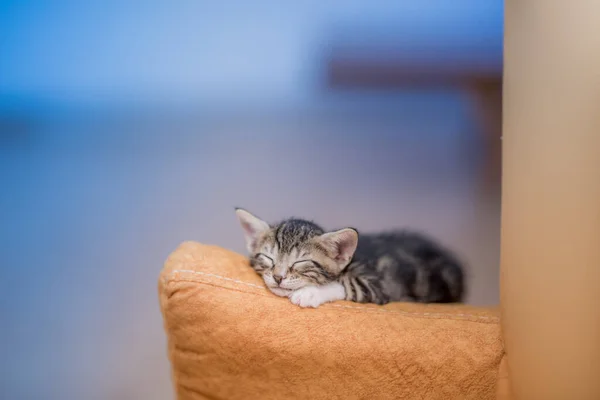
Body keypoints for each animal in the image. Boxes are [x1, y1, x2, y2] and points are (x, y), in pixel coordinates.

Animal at [234, 208, 464, 308]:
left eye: (300, 262)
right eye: (268, 258)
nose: (278, 277)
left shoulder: (380, 286)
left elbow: (344, 284)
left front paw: (309, 293)